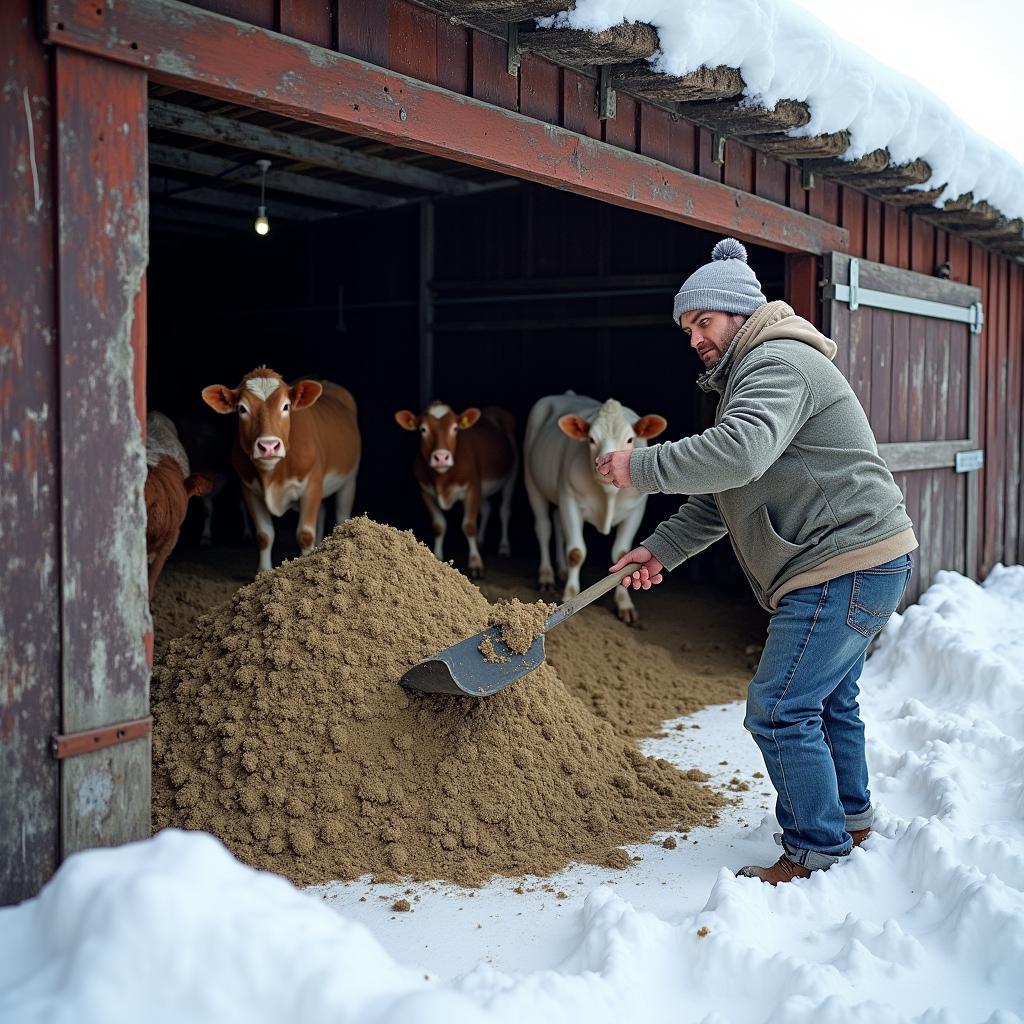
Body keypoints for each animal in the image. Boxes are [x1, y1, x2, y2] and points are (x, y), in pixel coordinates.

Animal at [200, 366, 360, 577]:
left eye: (286, 406)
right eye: (242, 408)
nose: (268, 446)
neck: (272, 477)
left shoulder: (312, 484)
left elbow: (305, 534)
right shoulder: (248, 488)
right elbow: (264, 535)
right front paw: (263, 573)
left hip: (349, 479)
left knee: (342, 516)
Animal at [393, 397, 516, 577]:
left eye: (455, 428)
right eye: (423, 429)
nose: (441, 457)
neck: (442, 479)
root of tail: (493, 409)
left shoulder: (472, 487)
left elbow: (469, 526)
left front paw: (475, 563)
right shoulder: (425, 491)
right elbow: (439, 525)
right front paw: (437, 556)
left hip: (511, 475)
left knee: (504, 511)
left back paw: (505, 547)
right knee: (487, 508)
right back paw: (481, 540)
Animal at [524, 393, 667, 622]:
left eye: (630, 440)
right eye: (591, 439)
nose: (603, 464)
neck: (608, 494)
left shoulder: (636, 510)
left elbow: (621, 555)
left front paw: (624, 603)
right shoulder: (570, 499)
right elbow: (575, 552)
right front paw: (570, 596)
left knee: (557, 524)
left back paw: (561, 570)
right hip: (533, 483)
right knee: (544, 528)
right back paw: (547, 575)